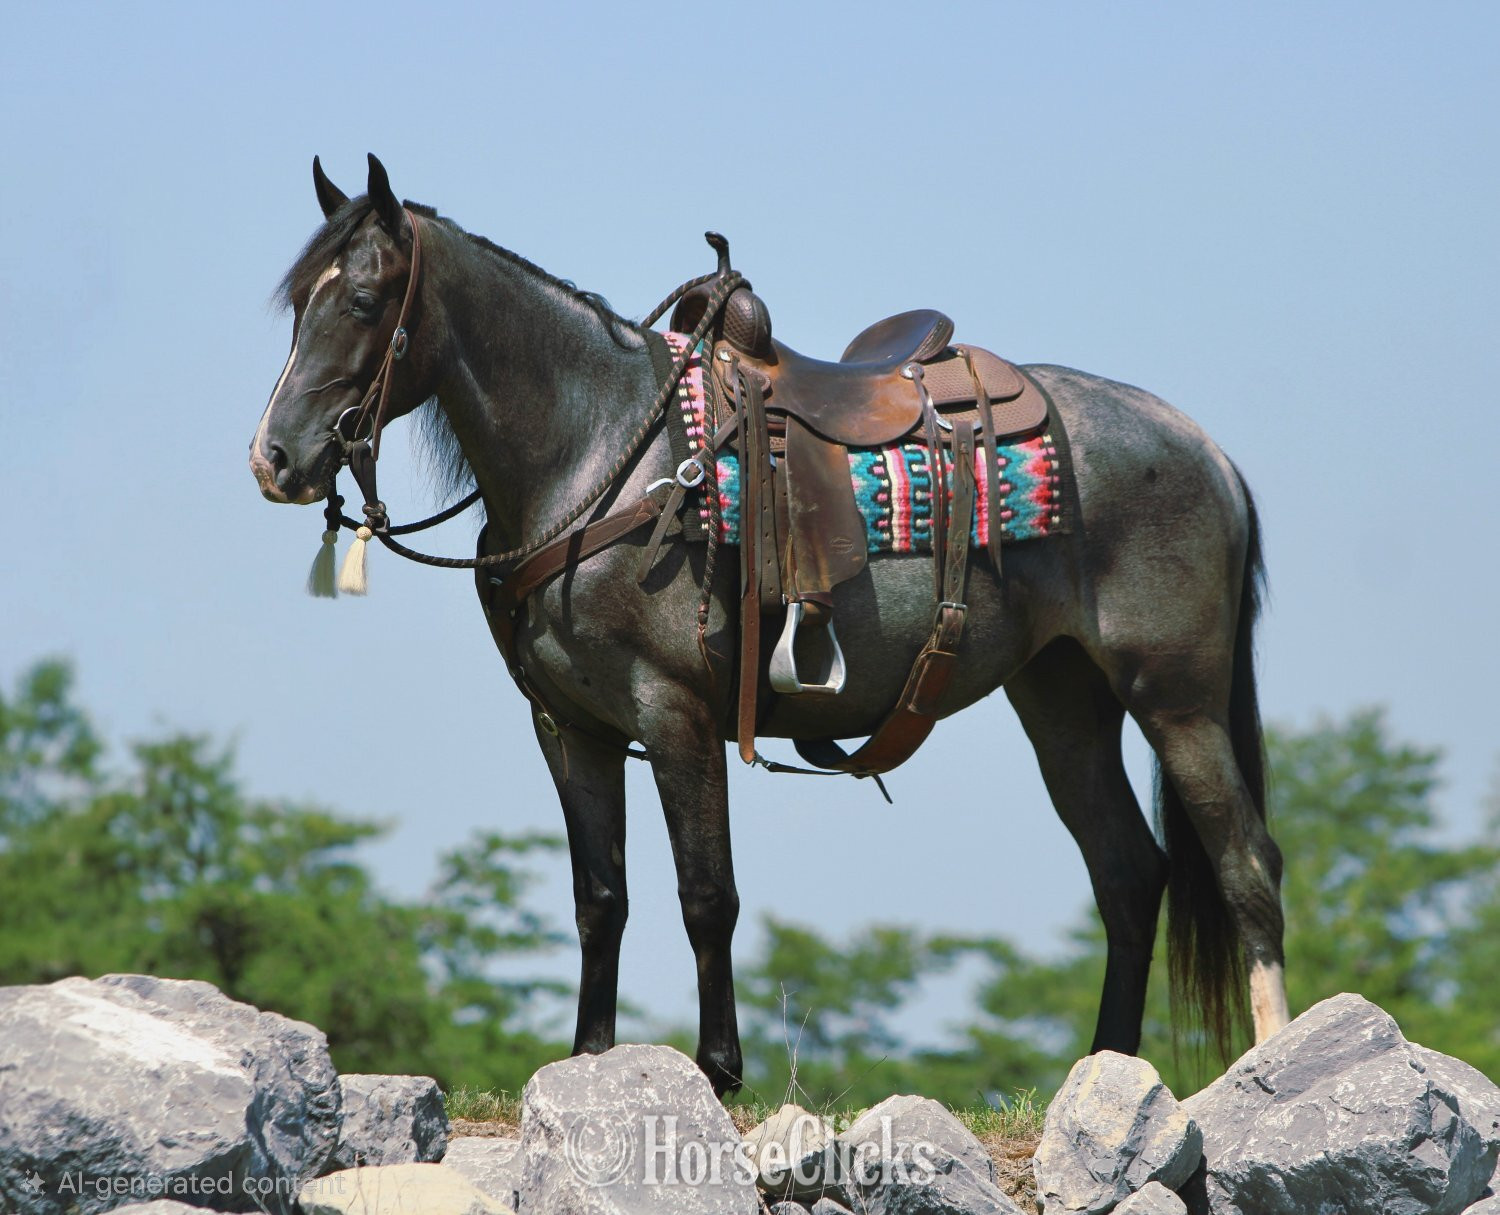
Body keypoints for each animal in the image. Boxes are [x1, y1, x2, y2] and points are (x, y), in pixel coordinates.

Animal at [249, 154, 1289, 1095]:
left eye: (363, 300)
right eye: (299, 302)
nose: (275, 458)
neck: (599, 456)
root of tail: (1205, 448)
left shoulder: (675, 715)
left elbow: (706, 894)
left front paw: (718, 1071)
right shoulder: (570, 727)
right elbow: (600, 898)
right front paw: (590, 1060)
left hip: (1178, 699)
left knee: (1246, 863)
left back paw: (1269, 1060)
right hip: (1064, 701)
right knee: (1129, 874)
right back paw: (1108, 1065)